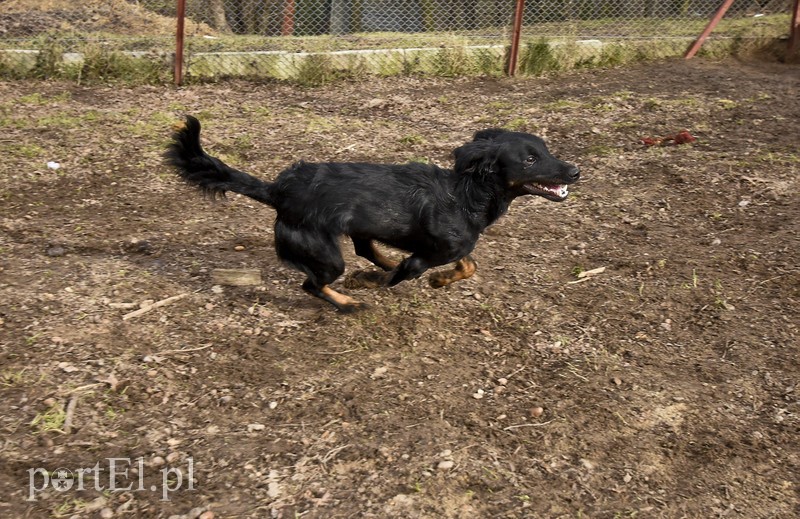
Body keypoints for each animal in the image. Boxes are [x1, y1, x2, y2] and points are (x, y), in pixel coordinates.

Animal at [166, 117, 580, 312]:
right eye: (530, 159)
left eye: (546, 150)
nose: (576, 171)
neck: (467, 194)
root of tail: (277, 191)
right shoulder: (426, 255)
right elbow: (406, 274)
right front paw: (379, 282)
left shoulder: (453, 248)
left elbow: (469, 264)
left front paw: (440, 281)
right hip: (324, 253)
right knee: (313, 284)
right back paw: (349, 304)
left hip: (355, 230)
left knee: (364, 250)